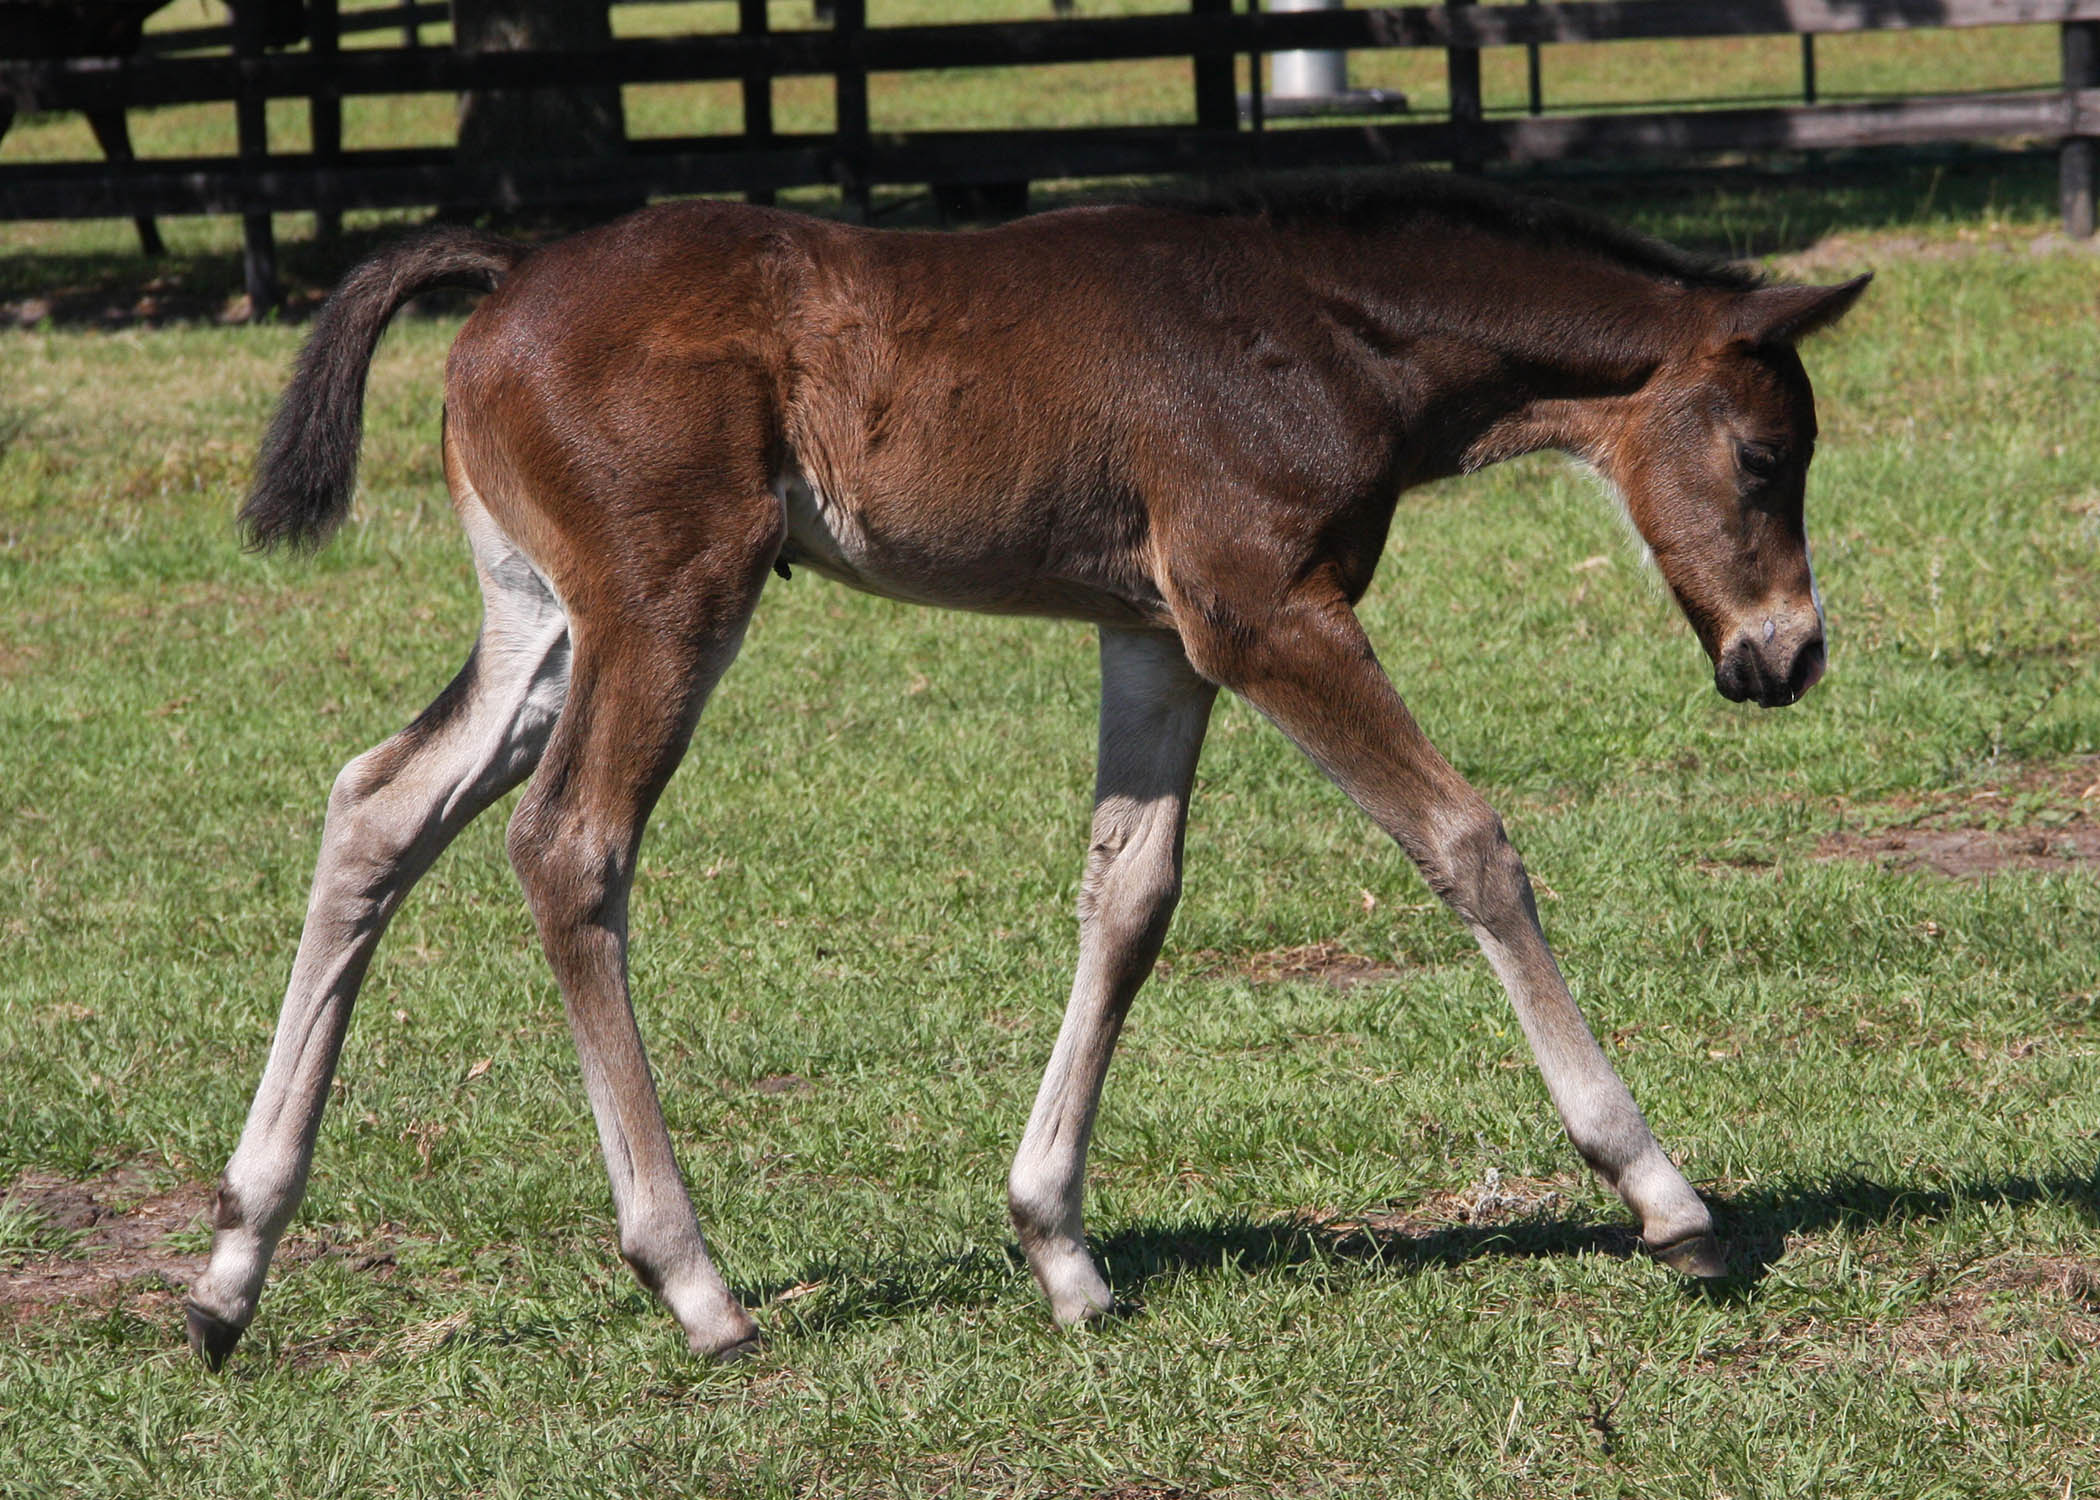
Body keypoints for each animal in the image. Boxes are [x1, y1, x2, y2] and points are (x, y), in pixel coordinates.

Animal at [188, 172, 1873, 1352]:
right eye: (1764, 459)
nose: (1787, 656)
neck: (1325, 326)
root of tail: (503, 287)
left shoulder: (1159, 631)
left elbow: (1130, 894)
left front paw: (1060, 1247)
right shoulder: (1265, 612)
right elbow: (1468, 843)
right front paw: (1661, 1194)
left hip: (541, 619)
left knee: (377, 805)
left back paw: (231, 1267)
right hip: (670, 600)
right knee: (568, 845)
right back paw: (695, 1284)